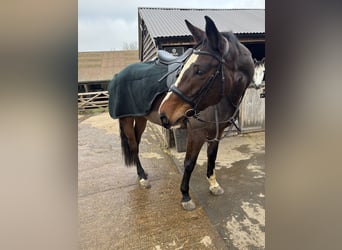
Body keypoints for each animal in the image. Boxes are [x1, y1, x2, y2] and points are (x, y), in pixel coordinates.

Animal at [114, 15, 254, 210]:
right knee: (133, 146)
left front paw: (213, 184)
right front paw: (185, 196)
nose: (164, 112)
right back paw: (142, 178)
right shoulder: (196, 133)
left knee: (137, 144)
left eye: (199, 70)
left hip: (141, 119)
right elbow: (189, 163)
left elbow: (212, 157)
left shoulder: (216, 132)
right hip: (126, 119)